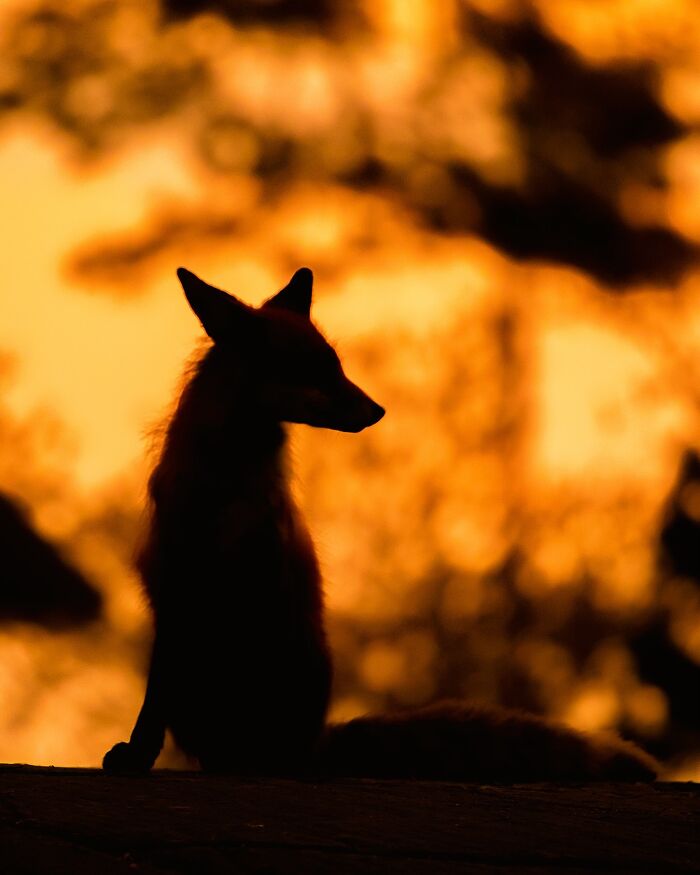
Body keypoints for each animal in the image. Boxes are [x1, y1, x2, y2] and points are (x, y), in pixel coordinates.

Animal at [102, 266, 656, 780]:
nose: (378, 410)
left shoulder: (261, 575)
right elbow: (152, 706)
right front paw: (137, 755)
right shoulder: (176, 588)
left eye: (338, 366)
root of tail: (316, 744)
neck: (223, 487)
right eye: (314, 370)